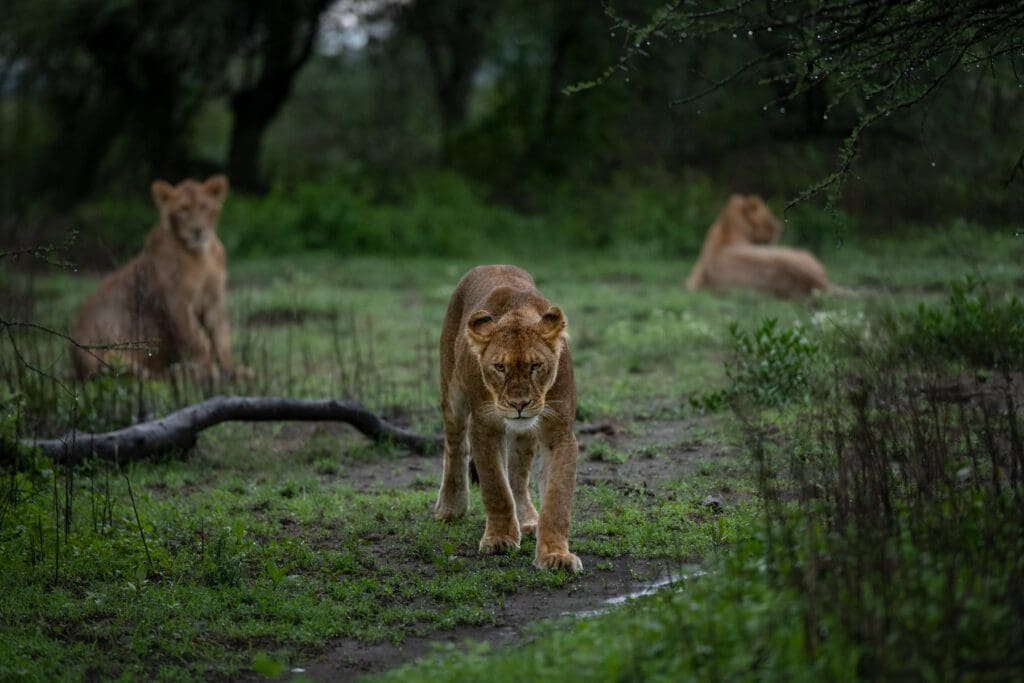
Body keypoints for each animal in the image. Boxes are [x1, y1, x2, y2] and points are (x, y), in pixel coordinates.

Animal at [71, 175, 244, 378]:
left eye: (204, 206)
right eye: (183, 209)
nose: (197, 230)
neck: (201, 255)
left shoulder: (213, 300)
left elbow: (221, 338)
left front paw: (235, 372)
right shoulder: (176, 303)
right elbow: (198, 341)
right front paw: (209, 373)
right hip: (110, 356)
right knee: (145, 375)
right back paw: (181, 372)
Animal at [434, 264, 585, 573]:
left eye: (536, 366)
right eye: (499, 367)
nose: (519, 404)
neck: (517, 313)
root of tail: (491, 265)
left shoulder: (559, 431)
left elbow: (556, 498)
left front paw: (555, 555)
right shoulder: (484, 426)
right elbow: (495, 486)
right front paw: (500, 538)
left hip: (525, 434)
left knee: (517, 475)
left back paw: (527, 519)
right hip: (452, 392)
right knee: (455, 446)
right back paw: (450, 507)